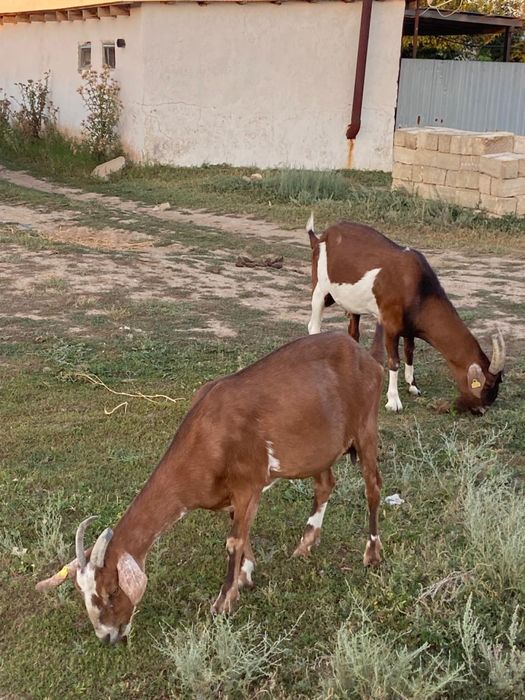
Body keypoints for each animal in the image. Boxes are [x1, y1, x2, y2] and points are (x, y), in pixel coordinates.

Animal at [37, 331, 384, 643]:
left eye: (110, 591)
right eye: (83, 594)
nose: (108, 636)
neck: (208, 435)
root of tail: (364, 355)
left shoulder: (249, 484)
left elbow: (233, 540)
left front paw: (223, 602)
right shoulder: (231, 496)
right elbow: (240, 532)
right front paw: (245, 576)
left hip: (366, 426)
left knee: (373, 486)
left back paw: (372, 554)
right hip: (319, 448)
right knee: (325, 484)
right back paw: (305, 544)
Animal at [306, 215, 505, 415]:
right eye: (486, 385)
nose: (481, 409)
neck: (417, 287)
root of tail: (322, 236)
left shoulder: (410, 325)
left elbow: (410, 351)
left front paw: (412, 385)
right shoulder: (390, 323)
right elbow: (394, 361)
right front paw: (393, 401)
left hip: (352, 301)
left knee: (353, 332)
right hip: (320, 289)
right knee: (313, 326)